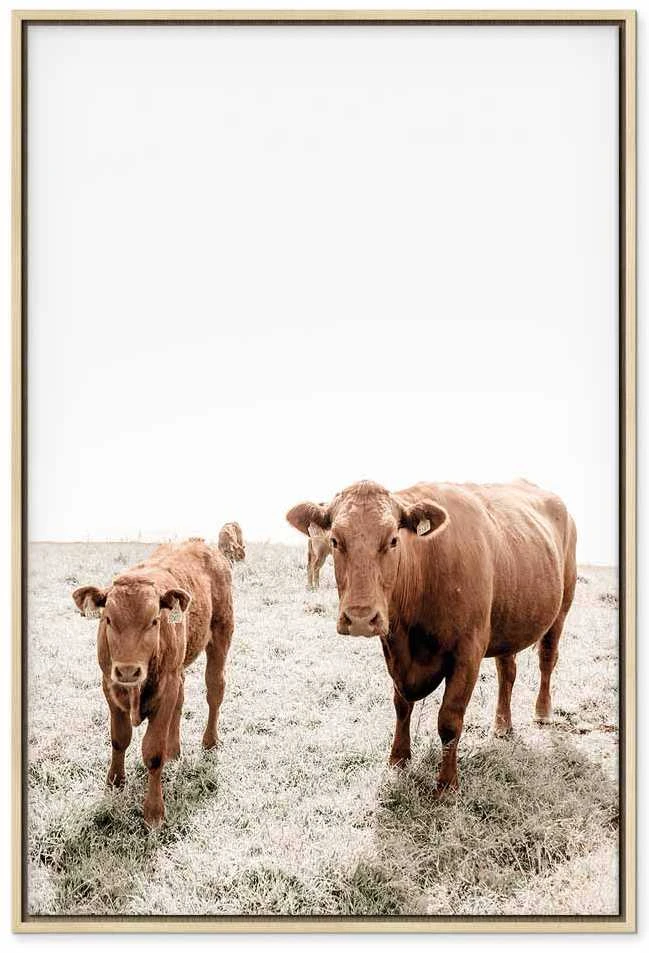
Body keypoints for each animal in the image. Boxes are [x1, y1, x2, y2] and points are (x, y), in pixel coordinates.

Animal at [72, 538, 234, 828]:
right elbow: (119, 738)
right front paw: (115, 781)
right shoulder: (109, 684)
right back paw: (175, 750)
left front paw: (154, 812)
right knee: (181, 701)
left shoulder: (165, 688)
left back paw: (210, 741)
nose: (128, 670)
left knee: (215, 690)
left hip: (221, 635)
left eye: (154, 621)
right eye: (108, 619)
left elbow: (153, 753)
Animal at [287, 479, 577, 794]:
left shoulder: (468, 654)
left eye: (393, 540)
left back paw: (542, 712)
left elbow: (449, 719)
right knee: (507, 672)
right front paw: (398, 760)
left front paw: (447, 784)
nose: (361, 618)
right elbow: (401, 706)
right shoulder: (395, 653)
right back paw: (502, 725)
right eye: (335, 540)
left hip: (561, 608)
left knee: (547, 659)